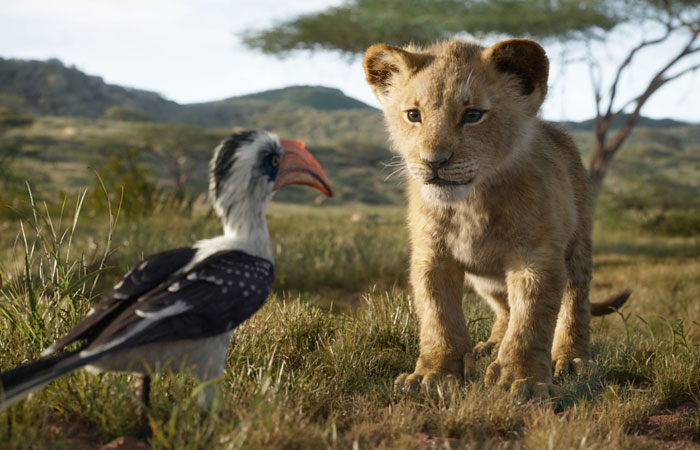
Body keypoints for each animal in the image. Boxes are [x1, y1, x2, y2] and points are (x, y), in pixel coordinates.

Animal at [363, 38, 630, 399]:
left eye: (473, 115)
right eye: (413, 115)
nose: (433, 161)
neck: (470, 204)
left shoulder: (536, 257)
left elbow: (531, 321)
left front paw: (523, 380)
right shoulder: (432, 256)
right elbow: (438, 316)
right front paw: (434, 374)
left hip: (577, 245)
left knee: (575, 301)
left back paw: (572, 358)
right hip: (486, 280)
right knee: (504, 308)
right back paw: (489, 347)